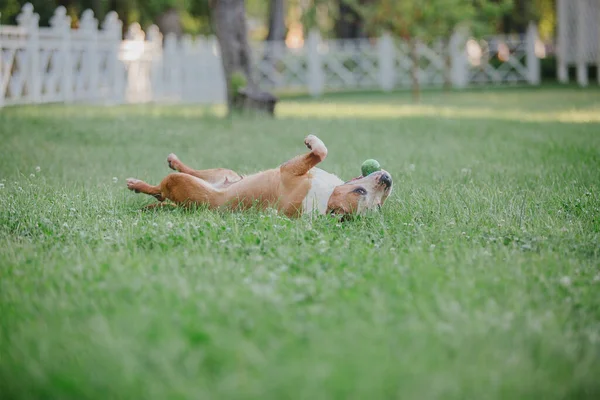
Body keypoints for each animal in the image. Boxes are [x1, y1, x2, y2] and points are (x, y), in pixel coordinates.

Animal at [126, 136, 394, 219]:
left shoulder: (289, 170)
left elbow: (320, 151)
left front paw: (312, 141)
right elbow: (320, 153)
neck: (326, 197)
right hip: (224, 173)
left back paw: (138, 186)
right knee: (188, 173)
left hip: (181, 184)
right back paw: (174, 161)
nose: (387, 180)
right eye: (360, 191)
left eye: (376, 204)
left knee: (161, 190)